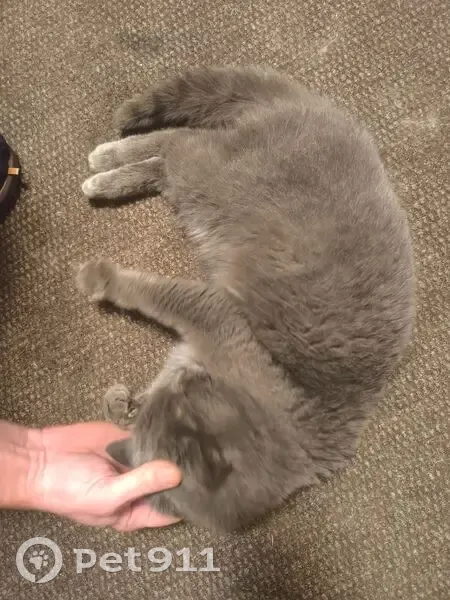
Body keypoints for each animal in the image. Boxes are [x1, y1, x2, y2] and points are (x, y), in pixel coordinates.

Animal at [76, 66, 415, 532]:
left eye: (176, 406)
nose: (185, 379)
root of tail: (325, 113)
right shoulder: (216, 313)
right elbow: (150, 290)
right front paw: (100, 278)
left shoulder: (211, 320)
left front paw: (122, 406)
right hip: (216, 178)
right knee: (177, 141)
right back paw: (107, 163)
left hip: (205, 185)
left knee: (172, 154)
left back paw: (108, 168)